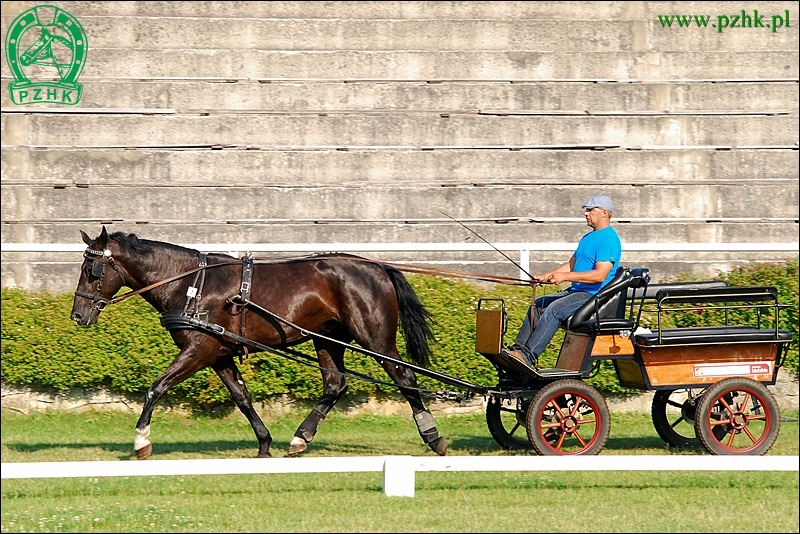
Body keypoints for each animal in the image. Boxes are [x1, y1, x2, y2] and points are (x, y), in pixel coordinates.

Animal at [69, 226, 446, 460]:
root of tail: (376, 266)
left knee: (405, 379)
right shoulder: (218, 354)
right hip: (329, 339)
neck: (191, 284)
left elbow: (156, 388)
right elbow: (242, 397)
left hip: (375, 339)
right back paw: (301, 436)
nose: (77, 315)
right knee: (335, 384)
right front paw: (264, 443)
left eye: (92, 270)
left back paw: (433, 436)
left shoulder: (199, 350)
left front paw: (141, 441)